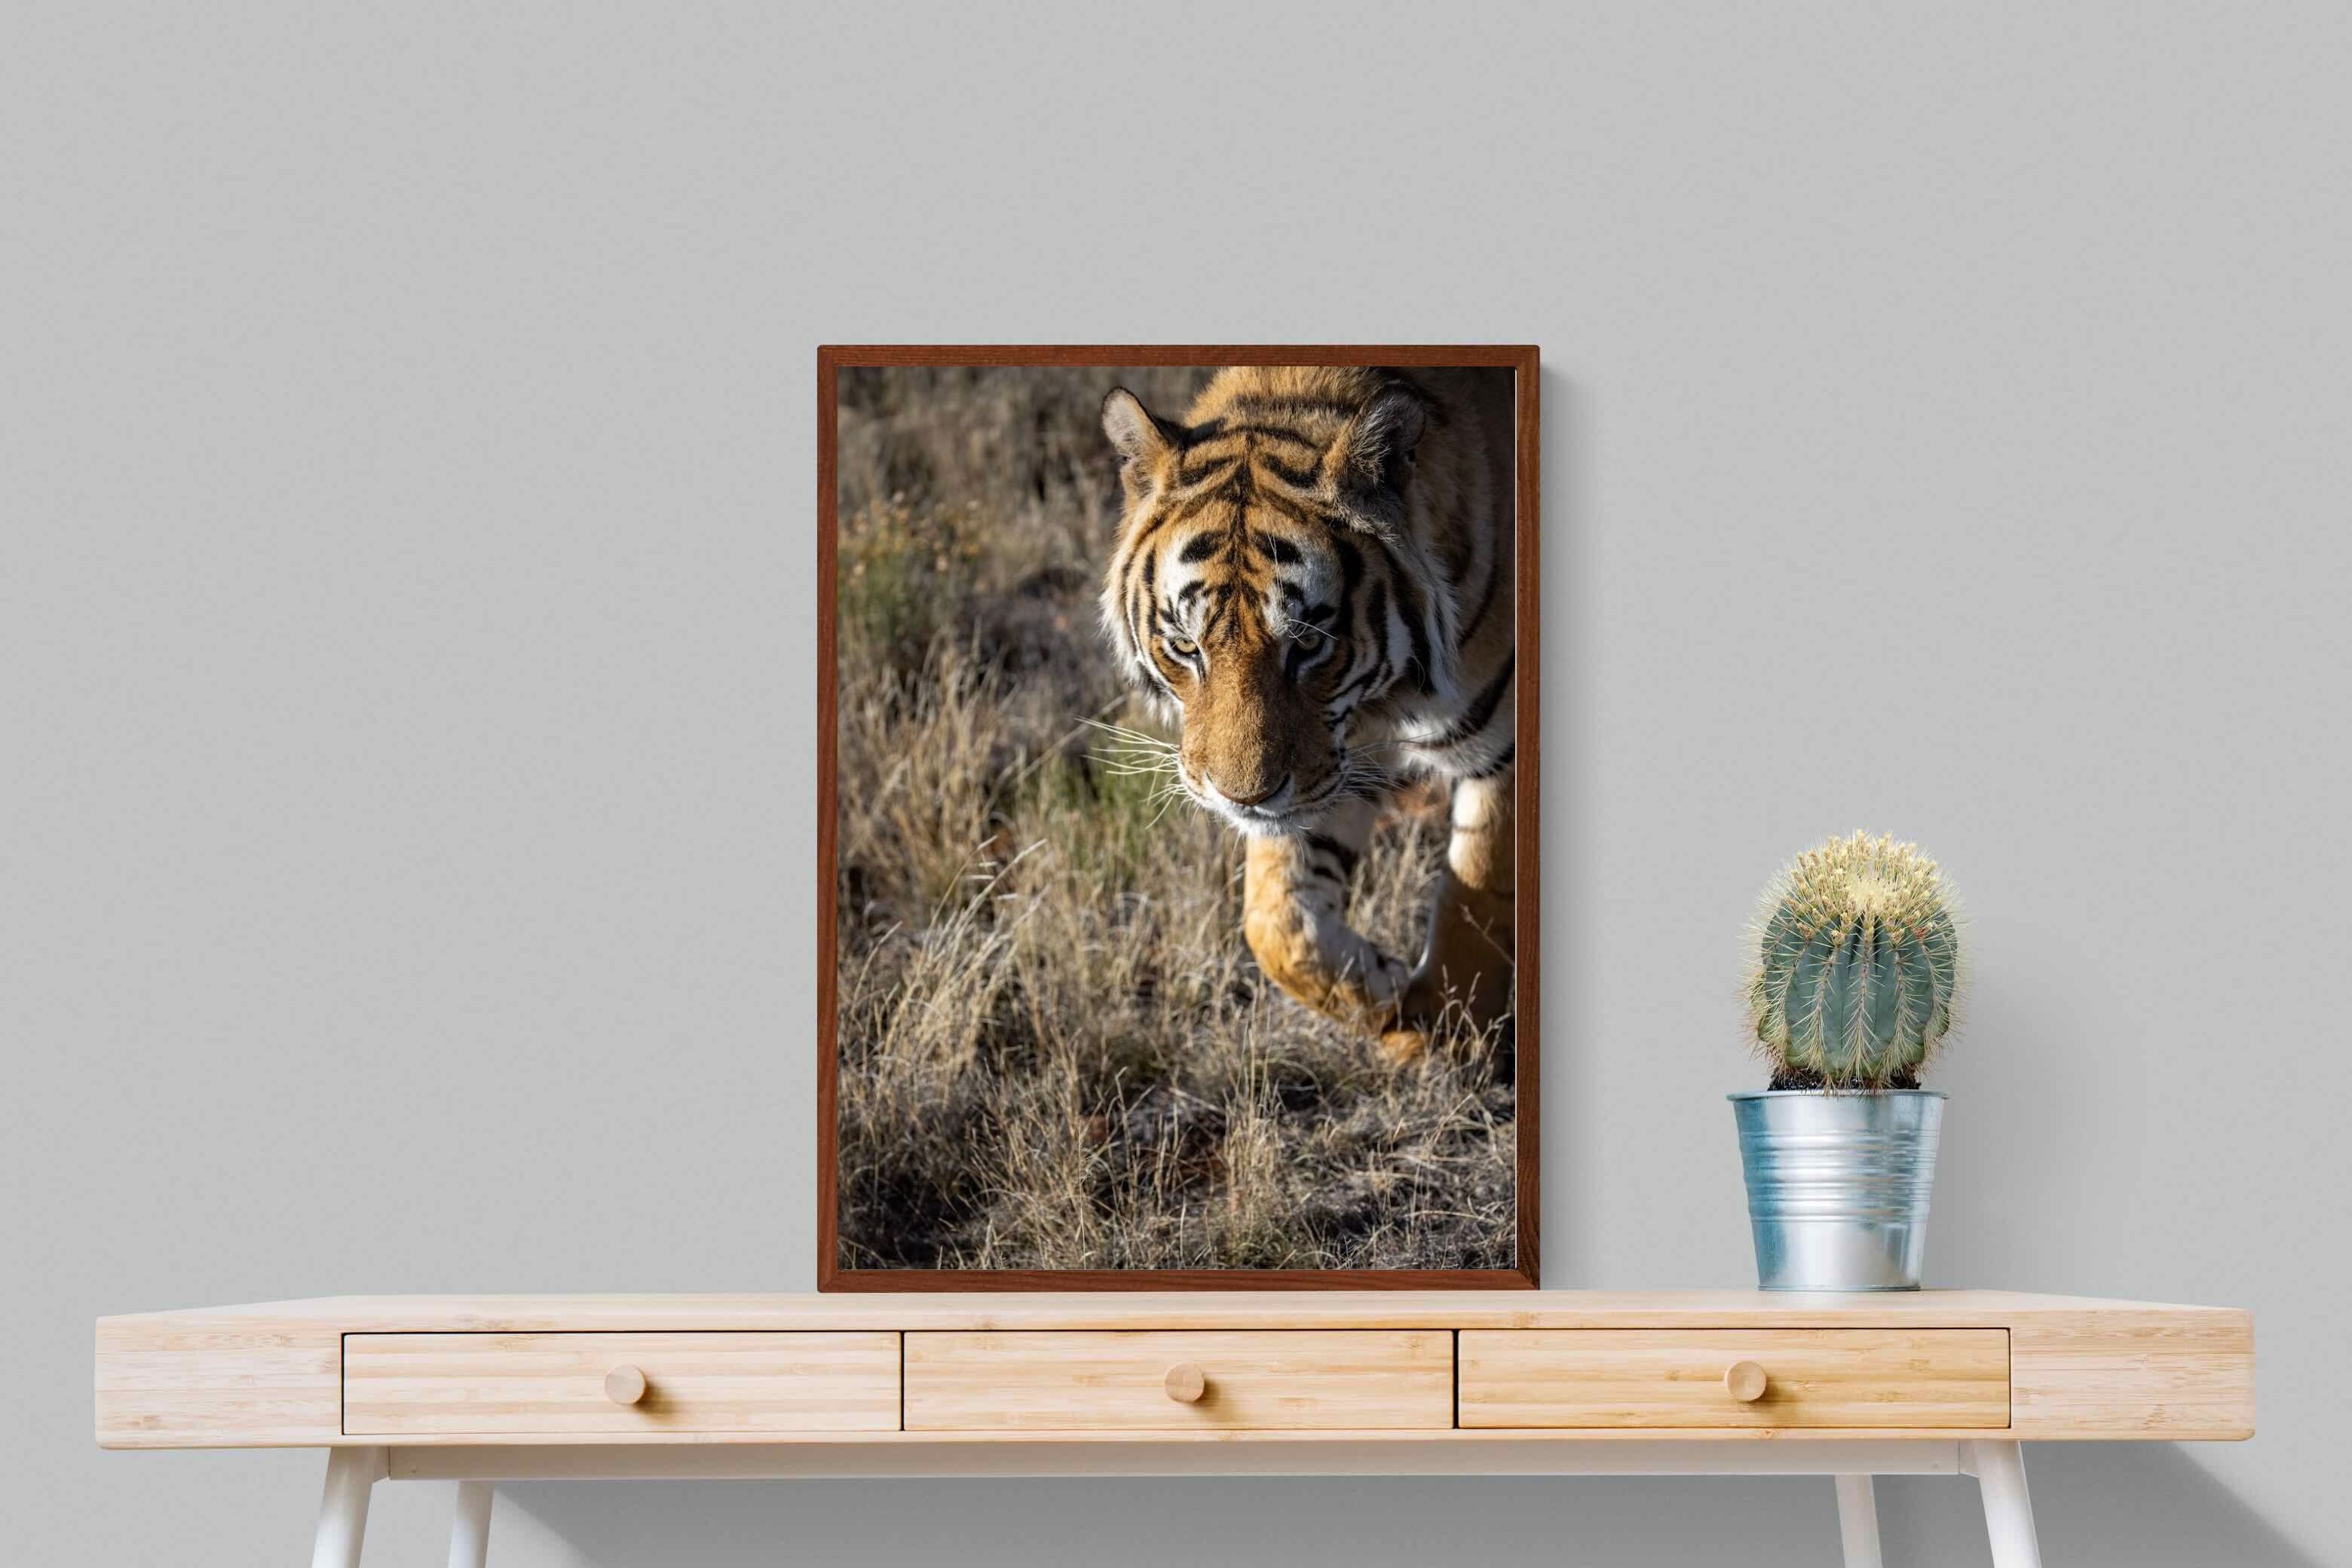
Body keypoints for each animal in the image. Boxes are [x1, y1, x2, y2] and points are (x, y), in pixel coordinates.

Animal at [1099, 365, 1517, 1063]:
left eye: (1309, 643)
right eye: (1186, 646)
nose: (1242, 798)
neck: (1385, 700)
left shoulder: (1504, 752)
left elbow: (1476, 896)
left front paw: (1447, 1034)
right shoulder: (1335, 763)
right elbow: (1277, 923)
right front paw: (1384, 991)